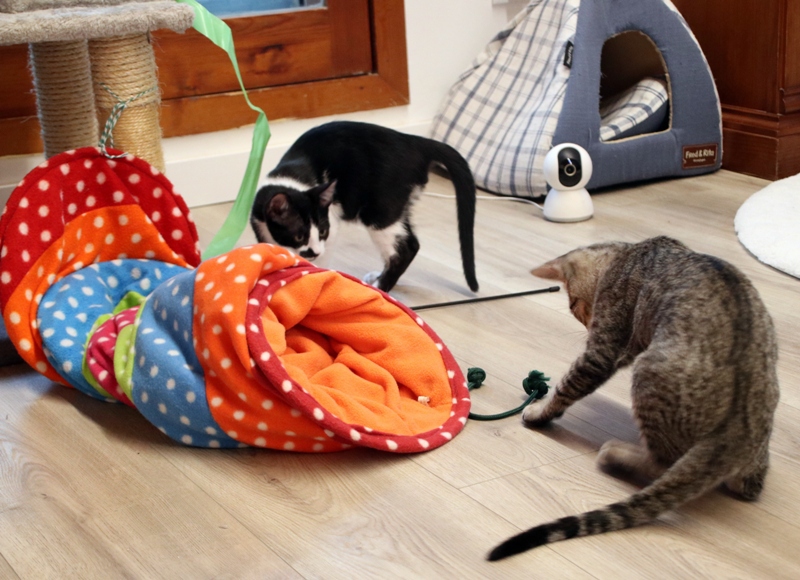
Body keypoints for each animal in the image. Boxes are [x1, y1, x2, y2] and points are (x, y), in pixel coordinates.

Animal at [249, 120, 478, 293]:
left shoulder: (331, 224)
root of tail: (414, 142)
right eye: (298, 236)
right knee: (410, 241)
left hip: (380, 210)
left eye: (322, 231)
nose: (313, 251)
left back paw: (381, 287)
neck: (289, 180)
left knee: (406, 248)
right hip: (397, 207)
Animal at [488, 235, 779, 560]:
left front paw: (539, 412)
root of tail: (739, 434)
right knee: (748, 483)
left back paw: (615, 453)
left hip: (647, 374)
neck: (630, 252)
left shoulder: (604, 349)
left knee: (662, 462)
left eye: (573, 304)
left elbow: (567, 386)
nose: (585, 320)